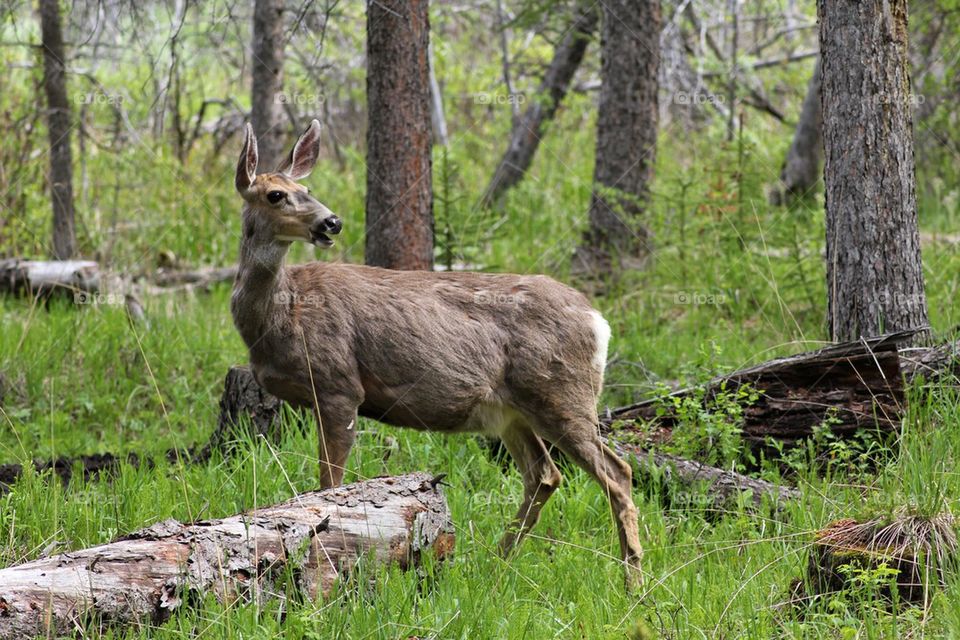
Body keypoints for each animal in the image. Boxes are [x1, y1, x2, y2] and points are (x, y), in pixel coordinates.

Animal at [231, 120, 644, 590]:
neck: (283, 315)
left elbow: (327, 485)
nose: (331, 222)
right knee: (545, 474)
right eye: (275, 194)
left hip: (563, 394)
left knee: (617, 473)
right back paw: (493, 565)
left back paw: (633, 582)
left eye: (306, 187)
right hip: (513, 412)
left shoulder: (338, 385)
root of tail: (598, 321)